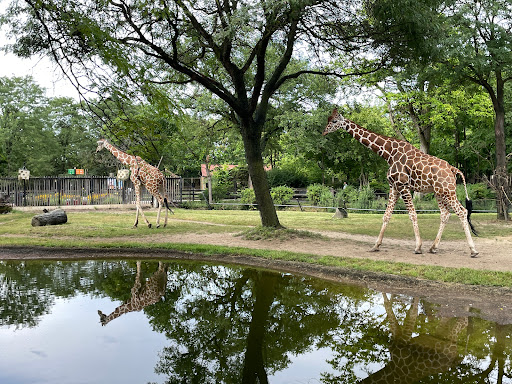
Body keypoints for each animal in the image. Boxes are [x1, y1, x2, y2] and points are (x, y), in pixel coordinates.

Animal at [324, 108, 480, 258]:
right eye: (328, 119)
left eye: (335, 121)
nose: (324, 131)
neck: (388, 153)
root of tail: (453, 169)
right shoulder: (394, 186)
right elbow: (387, 215)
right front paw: (376, 246)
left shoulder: (403, 185)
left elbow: (412, 214)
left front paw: (418, 247)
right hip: (439, 192)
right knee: (445, 214)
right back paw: (433, 247)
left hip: (448, 191)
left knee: (461, 211)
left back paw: (473, 250)